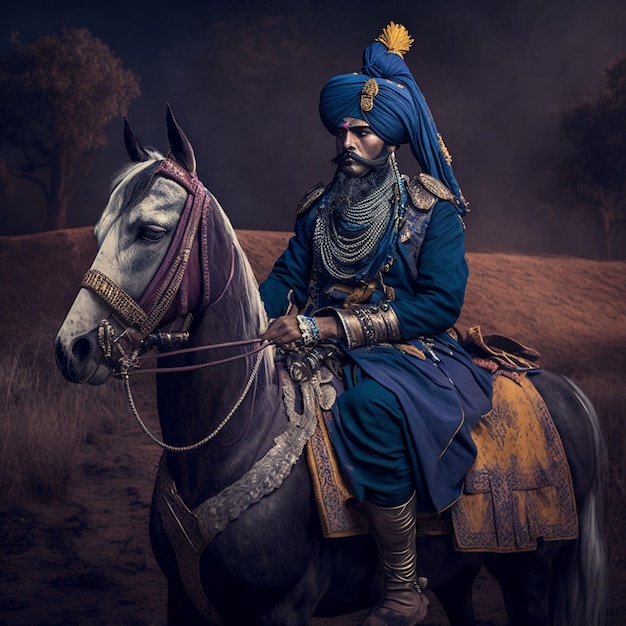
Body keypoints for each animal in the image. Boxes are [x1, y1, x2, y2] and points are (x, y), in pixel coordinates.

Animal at [54, 108, 604, 624]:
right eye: (99, 230)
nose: (72, 349)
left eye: (150, 231)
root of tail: (566, 392)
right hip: (459, 573)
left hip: (528, 572)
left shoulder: (279, 609)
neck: (236, 437)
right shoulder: (183, 602)